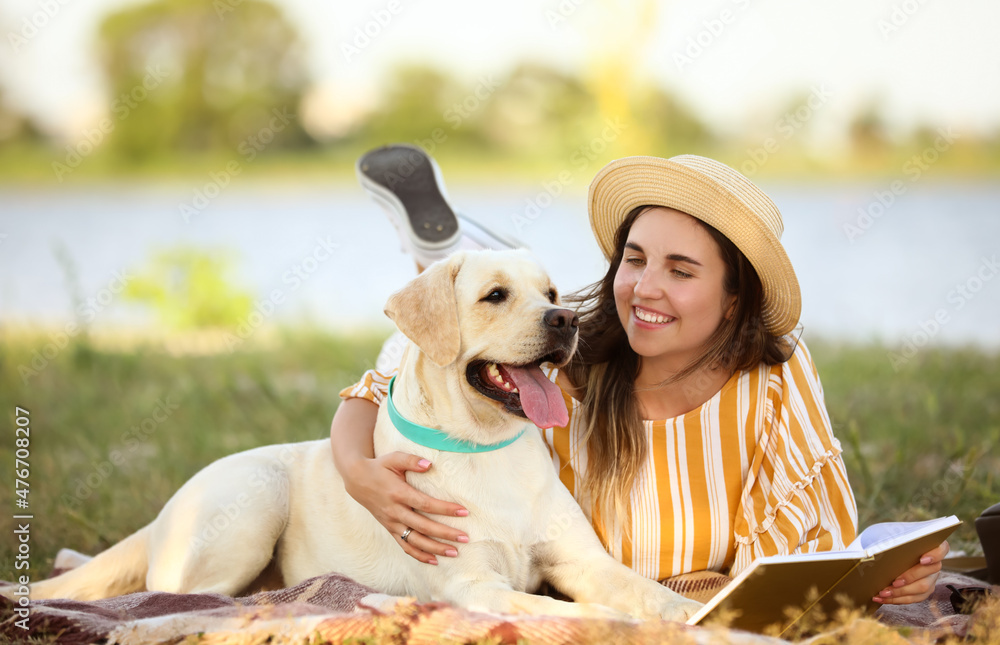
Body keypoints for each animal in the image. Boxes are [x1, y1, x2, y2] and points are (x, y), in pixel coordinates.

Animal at [15, 250, 704, 620]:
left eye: (553, 292)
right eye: (495, 296)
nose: (565, 320)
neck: (483, 447)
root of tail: (161, 514)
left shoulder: (582, 561)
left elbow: (647, 594)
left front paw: (696, 613)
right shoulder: (474, 585)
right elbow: (570, 610)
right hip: (250, 502)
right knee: (182, 595)